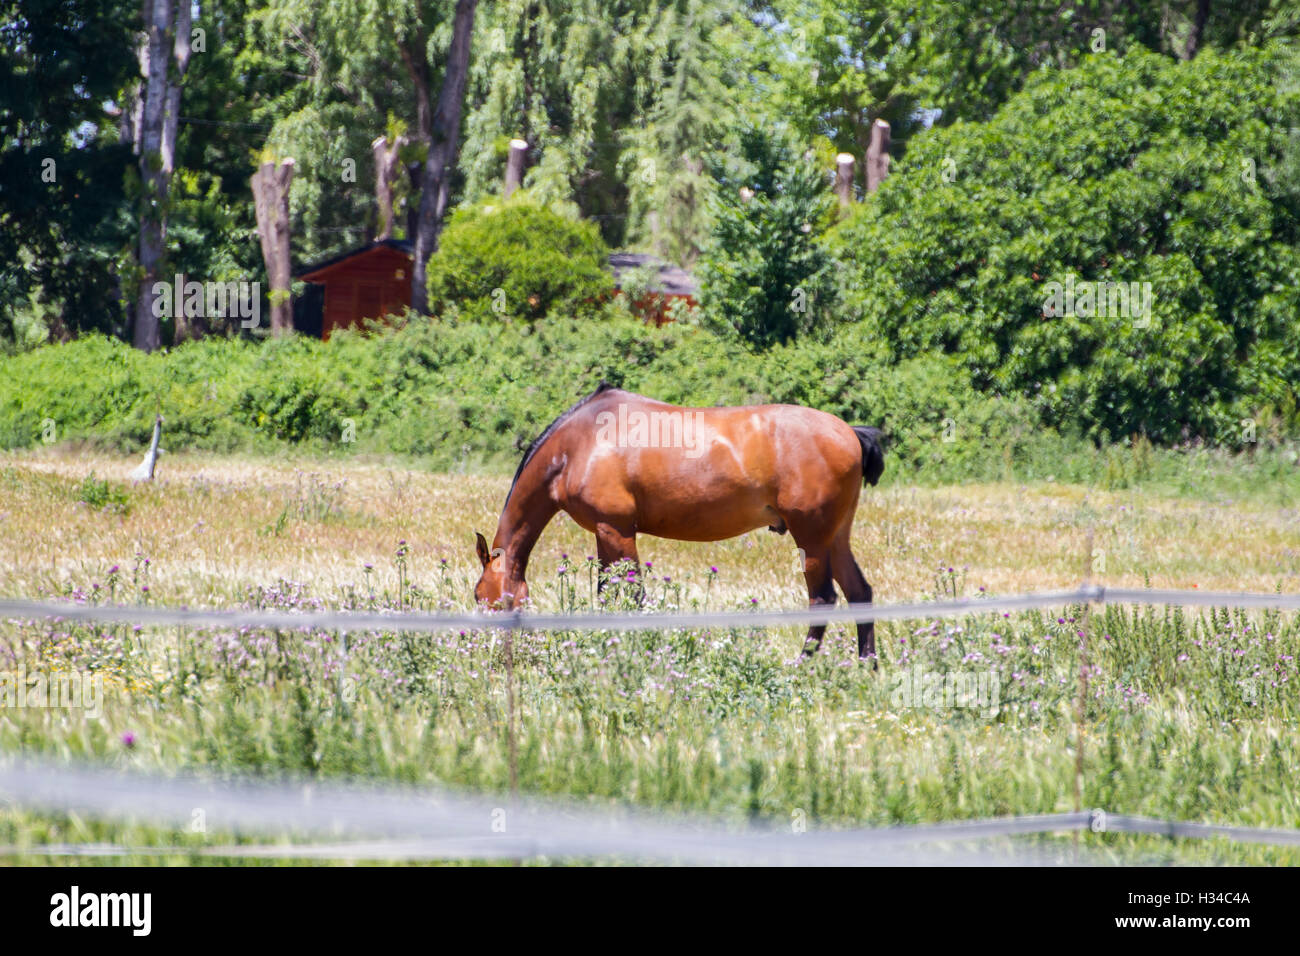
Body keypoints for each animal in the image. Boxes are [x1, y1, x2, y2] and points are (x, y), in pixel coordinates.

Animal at [473, 382, 884, 659]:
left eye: (480, 595)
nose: (484, 647)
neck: (579, 444)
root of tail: (850, 433)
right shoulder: (604, 535)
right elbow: (607, 595)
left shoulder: (617, 531)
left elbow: (633, 597)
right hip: (835, 537)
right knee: (860, 593)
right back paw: (867, 666)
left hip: (811, 539)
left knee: (823, 598)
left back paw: (803, 664)